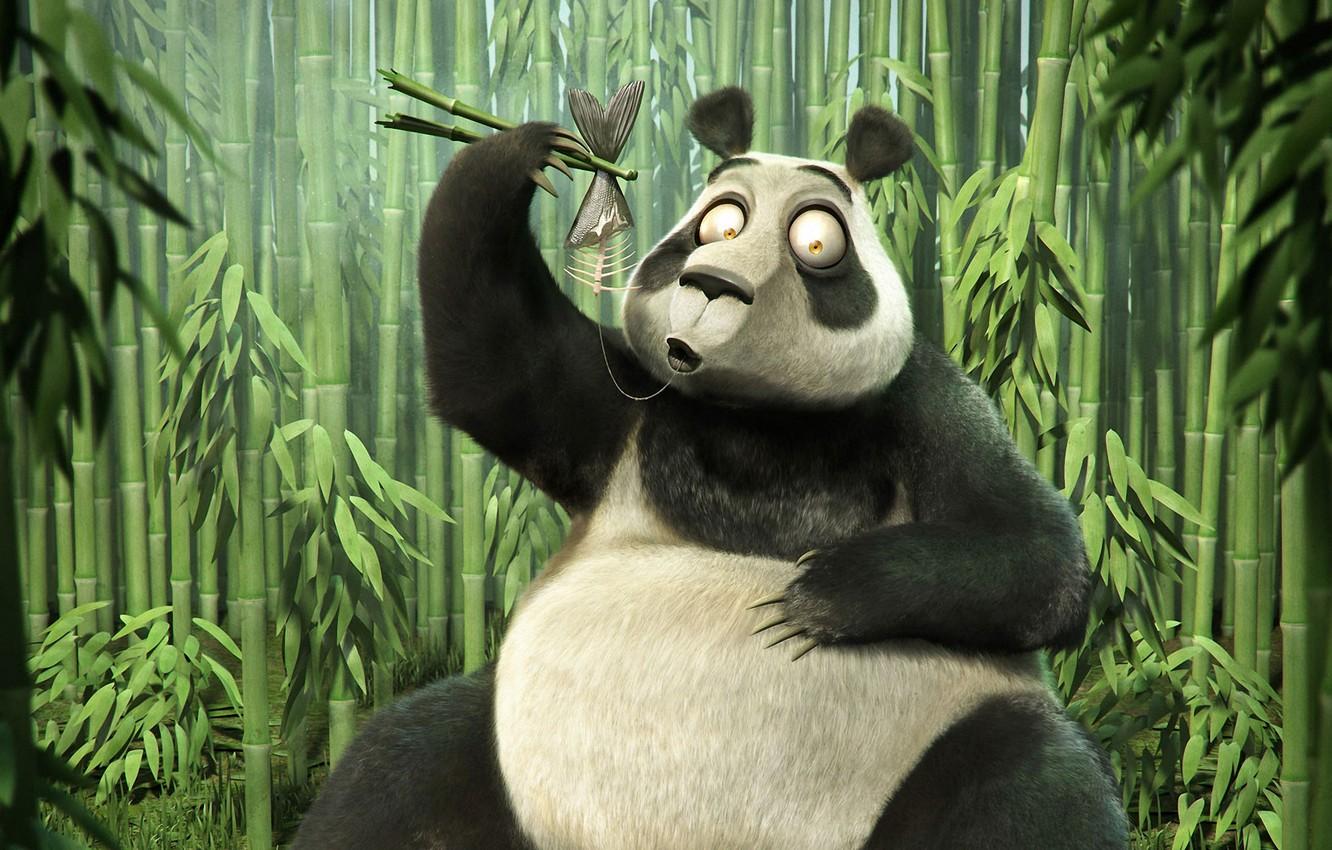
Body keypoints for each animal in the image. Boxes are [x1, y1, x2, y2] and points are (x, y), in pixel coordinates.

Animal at [293, 87, 1130, 850]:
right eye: (720, 221)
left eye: (816, 240)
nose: (714, 283)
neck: (756, 419)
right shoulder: (630, 405)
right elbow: (492, 366)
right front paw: (524, 149)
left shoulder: (921, 402)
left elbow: (1036, 553)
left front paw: (819, 594)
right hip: (499, 757)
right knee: (399, 767)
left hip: (943, 747)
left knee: (1033, 787)